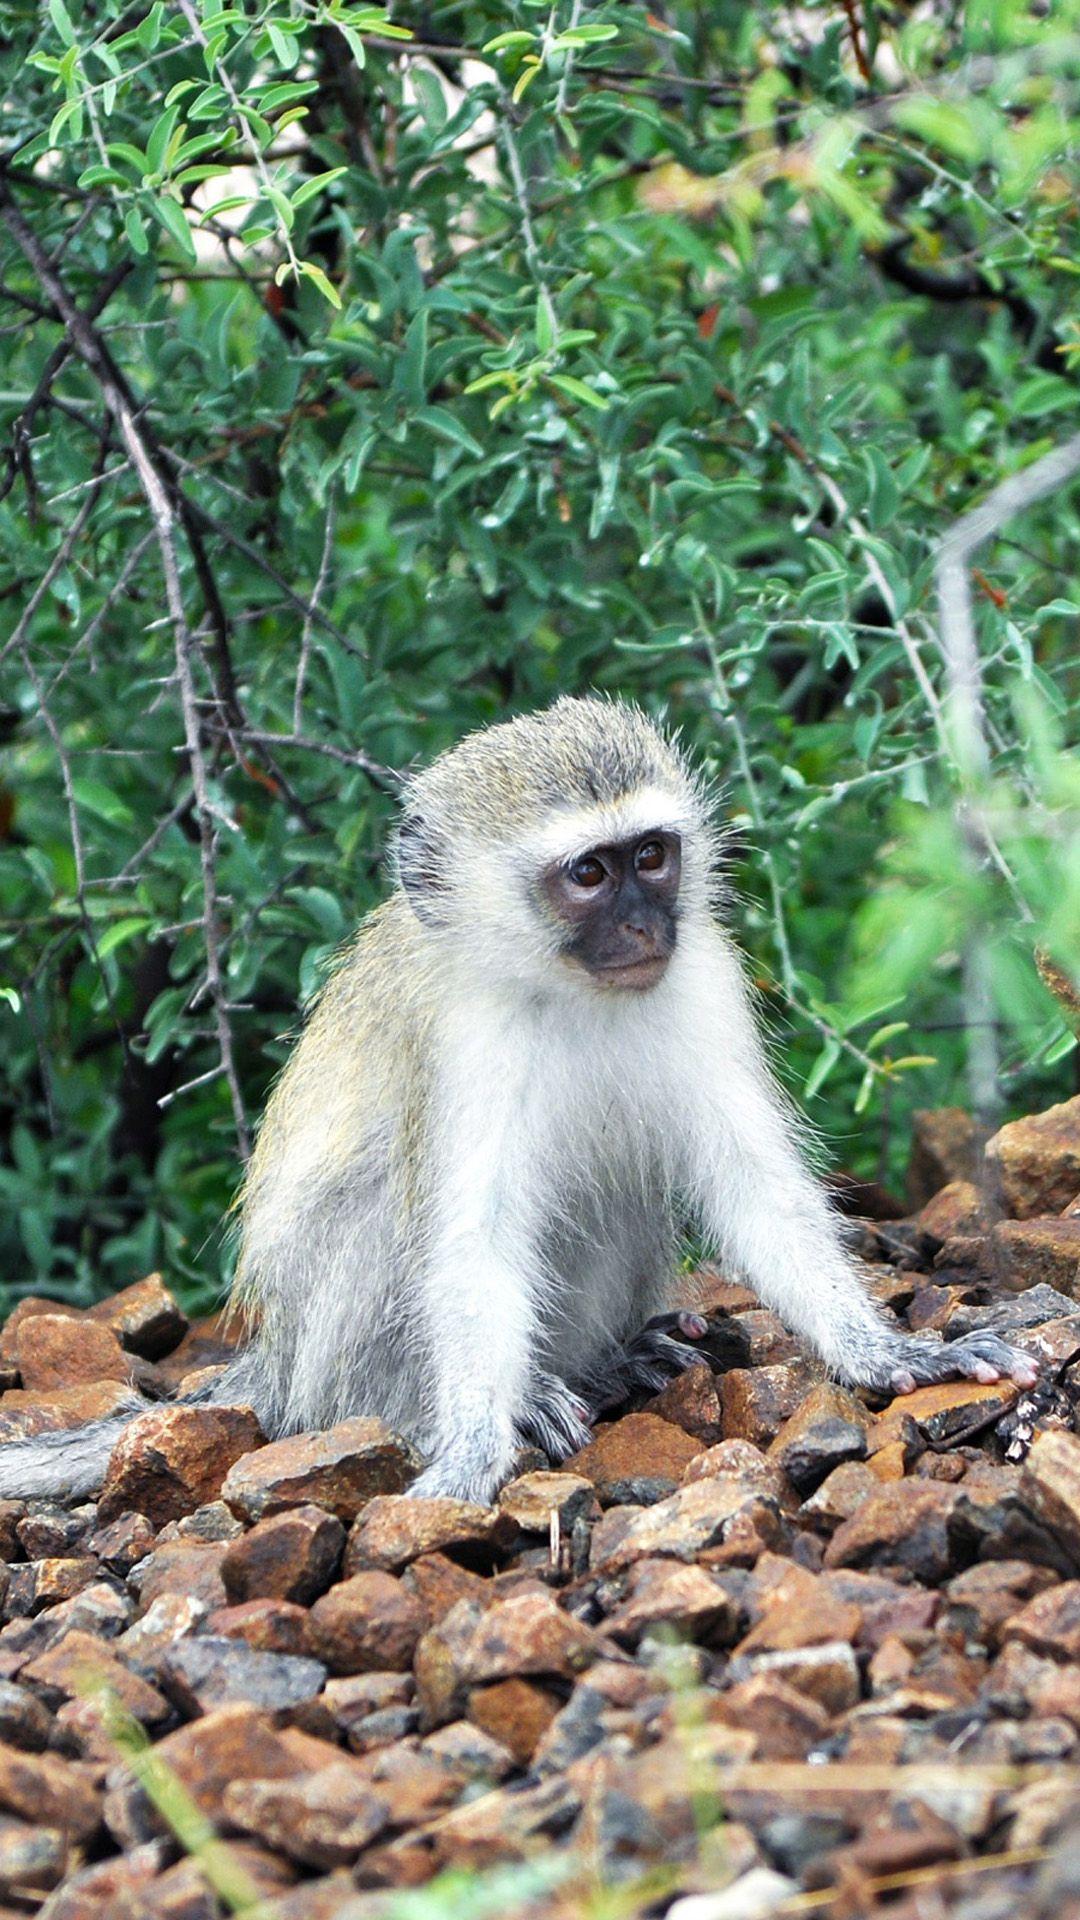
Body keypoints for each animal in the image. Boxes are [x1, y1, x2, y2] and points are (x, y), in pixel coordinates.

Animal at [0, 696, 1037, 1505]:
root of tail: (281, 1360)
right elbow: (473, 1237)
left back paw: (607, 1363)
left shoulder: (702, 972)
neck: (566, 990)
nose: (644, 927)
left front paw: (887, 1356)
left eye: (651, 856)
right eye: (589, 874)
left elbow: (751, 1181)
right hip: (322, 1354)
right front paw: (469, 1451)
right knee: (387, 1218)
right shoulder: (465, 1040)